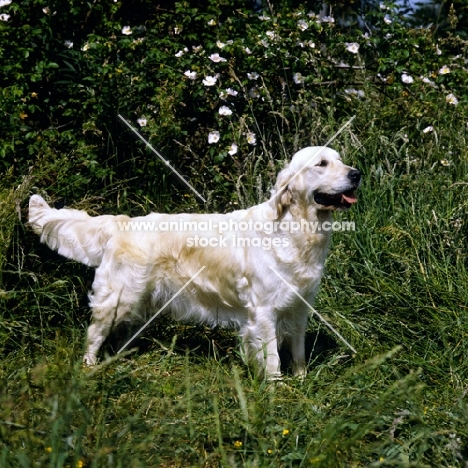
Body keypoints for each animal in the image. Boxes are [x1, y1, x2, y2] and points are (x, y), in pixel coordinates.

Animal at [28, 146, 358, 380]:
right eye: (321, 164)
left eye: (340, 160)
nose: (356, 174)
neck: (296, 229)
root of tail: (121, 222)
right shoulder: (264, 311)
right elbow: (273, 357)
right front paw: (275, 390)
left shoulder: (300, 306)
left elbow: (298, 350)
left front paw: (301, 381)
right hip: (118, 298)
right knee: (94, 334)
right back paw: (89, 369)